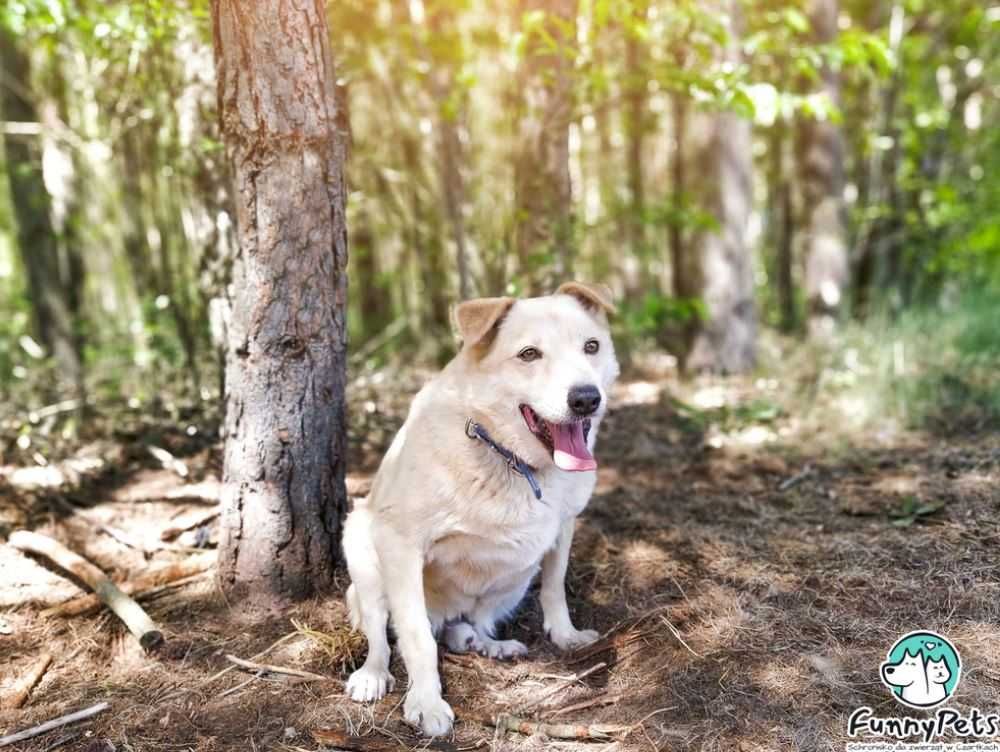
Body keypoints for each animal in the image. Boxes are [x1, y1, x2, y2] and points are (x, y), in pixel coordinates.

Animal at [348, 282, 620, 736]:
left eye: (591, 346)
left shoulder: (563, 526)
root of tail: (446, 614)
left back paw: (488, 643)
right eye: (529, 354)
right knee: (382, 631)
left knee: (473, 621)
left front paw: (564, 634)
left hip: (513, 578)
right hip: (360, 547)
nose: (586, 399)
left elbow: (555, 586)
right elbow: (415, 636)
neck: (510, 458)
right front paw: (426, 702)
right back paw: (373, 674)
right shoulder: (399, 542)